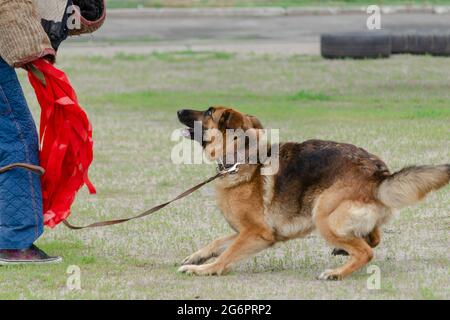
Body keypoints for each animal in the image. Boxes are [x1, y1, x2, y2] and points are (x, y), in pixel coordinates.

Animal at [178, 106, 448, 278]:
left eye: (209, 112)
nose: (179, 110)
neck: (242, 157)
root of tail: (378, 175)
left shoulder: (257, 233)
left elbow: (226, 255)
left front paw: (203, 270)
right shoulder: (246, 233)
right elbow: (217, 242)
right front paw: (195, 258)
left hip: (322, 214)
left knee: (367, 251)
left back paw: (336, 273)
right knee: (373, 237)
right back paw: (344, 249)